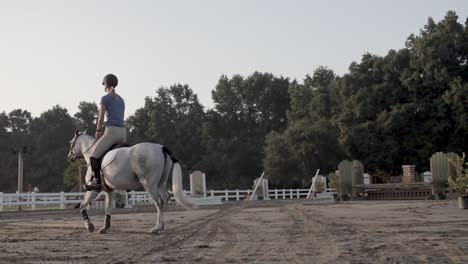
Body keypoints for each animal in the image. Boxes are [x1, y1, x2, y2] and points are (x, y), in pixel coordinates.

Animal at [67, 130, 196, 233]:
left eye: (71, 142)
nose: (69, 157)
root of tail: (161, 148)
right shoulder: (109, 191)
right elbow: (108, 208)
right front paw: (105, 228)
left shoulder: (93, 189)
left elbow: (82, 205)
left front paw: (89, 225)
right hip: (160, 183)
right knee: (165, 197)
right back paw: (161, 226)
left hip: (149, 184)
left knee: (158, 202)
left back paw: (157, 228)